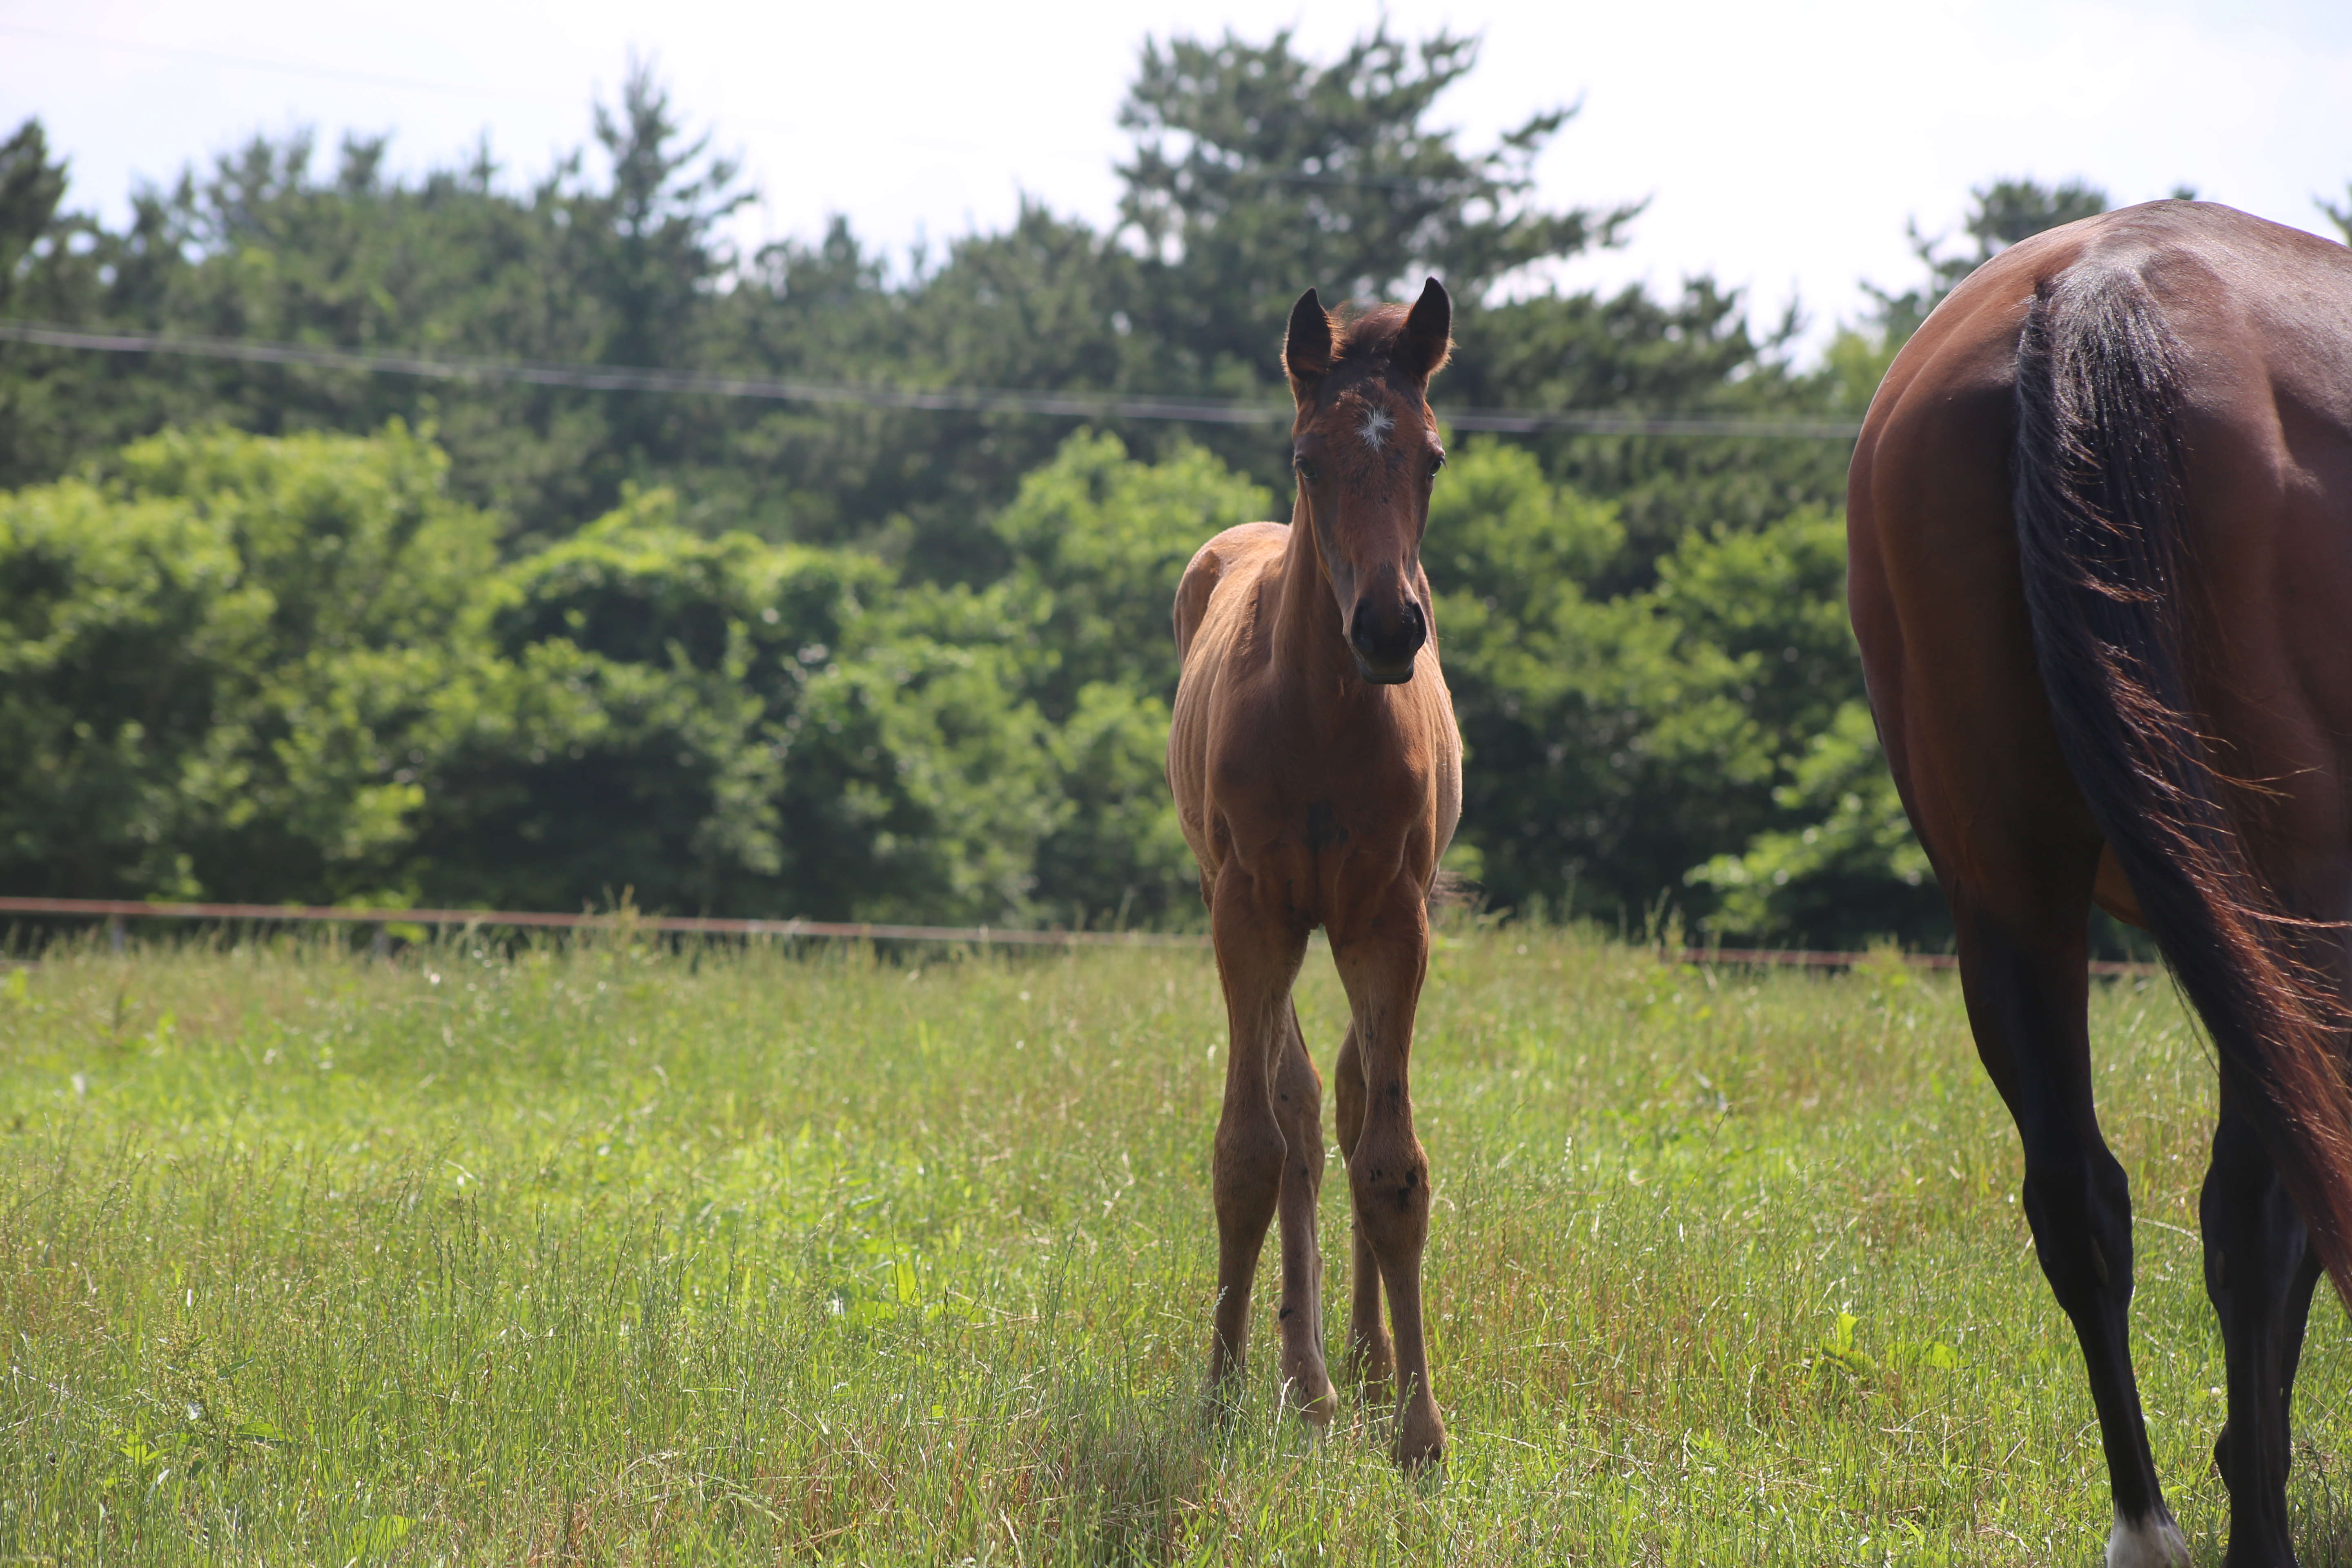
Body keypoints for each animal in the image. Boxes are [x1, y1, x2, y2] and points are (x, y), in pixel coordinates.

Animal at [1862, 202, 2352, 1561]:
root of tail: (2100, 284)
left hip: (2010, 896)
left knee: (2081, 1199)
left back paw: (2152, 1521)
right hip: (2279, 896)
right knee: (2262, 1211)